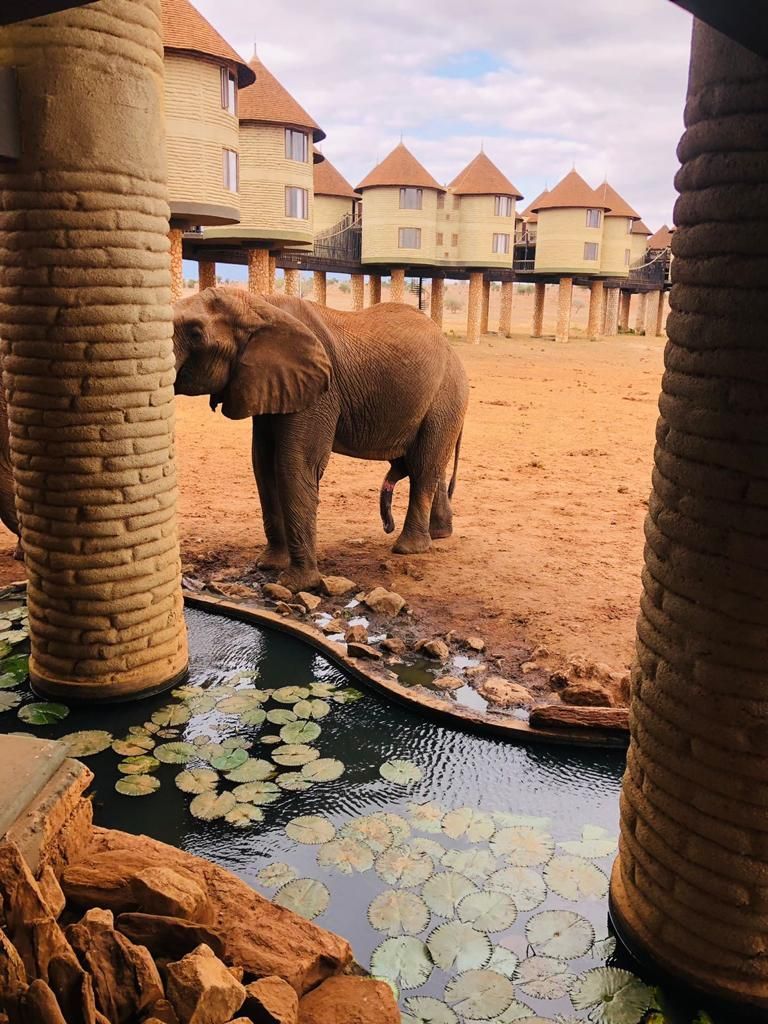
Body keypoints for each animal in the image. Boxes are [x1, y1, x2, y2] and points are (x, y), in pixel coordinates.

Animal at [173, 287, 469, 592]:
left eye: (195, 333)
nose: (388, 525)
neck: (260, 303)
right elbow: (263, 464)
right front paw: (269, 566)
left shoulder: (319, 391)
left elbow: (295, 465)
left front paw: (295, 584)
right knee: (434, 464)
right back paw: (439, 533)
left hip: (446, 396)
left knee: (424, 466)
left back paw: (409, 549)